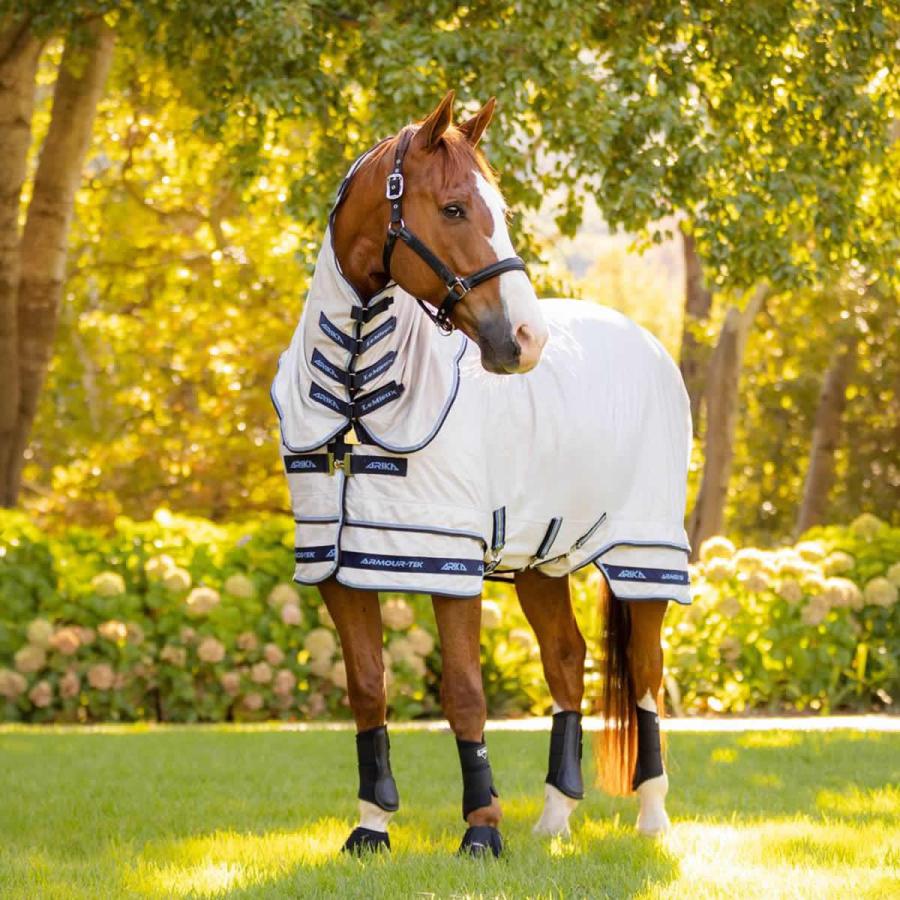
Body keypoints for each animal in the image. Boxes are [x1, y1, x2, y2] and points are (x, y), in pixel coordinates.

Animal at [271, 91, 692, 857]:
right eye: (456, 207)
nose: (526, 340)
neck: (354, 389)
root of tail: (646, 341)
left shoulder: (449, 562)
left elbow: (464, 692)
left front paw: (482, 831)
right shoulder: (336, 565)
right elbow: (368, 688)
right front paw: (371, 825)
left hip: (646, 556)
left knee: (646, 675)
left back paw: (652, 818)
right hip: (541, 559)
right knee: (566, 661)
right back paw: (555, 818)